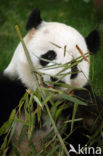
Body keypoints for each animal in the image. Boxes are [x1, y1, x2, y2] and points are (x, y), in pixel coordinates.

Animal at [0, 8, 102, 156]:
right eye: (49, 55)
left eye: (73, 66)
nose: (57, 80)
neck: (45, 103)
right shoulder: (12, 91)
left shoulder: (71, 109)